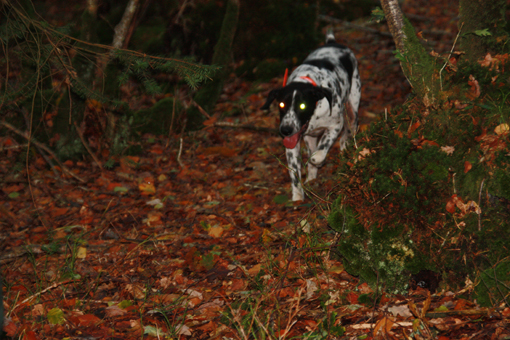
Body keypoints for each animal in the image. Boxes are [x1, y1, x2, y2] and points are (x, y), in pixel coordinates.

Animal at [260, 31, 360, 202]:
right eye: (281, 105)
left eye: (302, 106)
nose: (285, 130)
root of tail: (332, 42)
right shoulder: (293, 142)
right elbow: (294, 171)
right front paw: (298, 195)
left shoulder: (335, 125)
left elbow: (320, 151)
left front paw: (317, 159)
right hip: (308, 137)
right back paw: (312, 178)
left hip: (353, 106)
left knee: (348, 131)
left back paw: (346, 150)